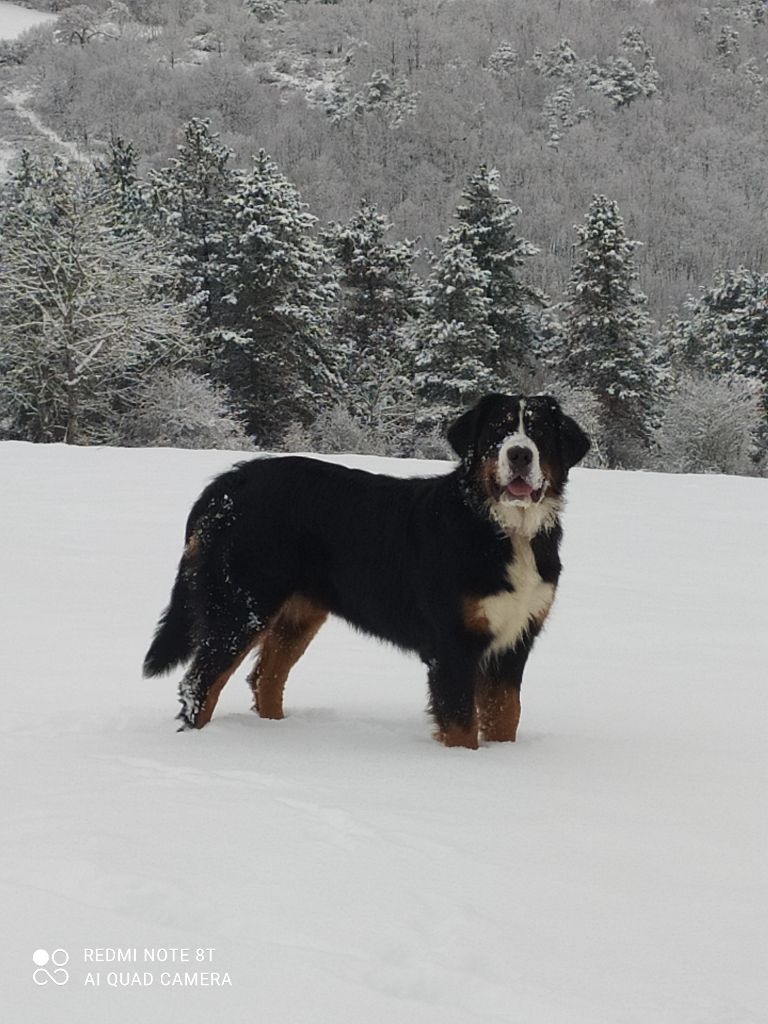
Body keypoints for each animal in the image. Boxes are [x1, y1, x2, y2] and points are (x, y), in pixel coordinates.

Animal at [144, 395, 589, 749]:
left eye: (539, 431)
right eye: (499, 429)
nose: (519, 455)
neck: (506, 530)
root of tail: (227, 482)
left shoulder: (515, 639)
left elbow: (505, 714)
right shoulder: (453, 644)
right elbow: (463, 723)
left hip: (297, 613)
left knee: (265, 678)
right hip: (241, 606)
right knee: (201, 683)